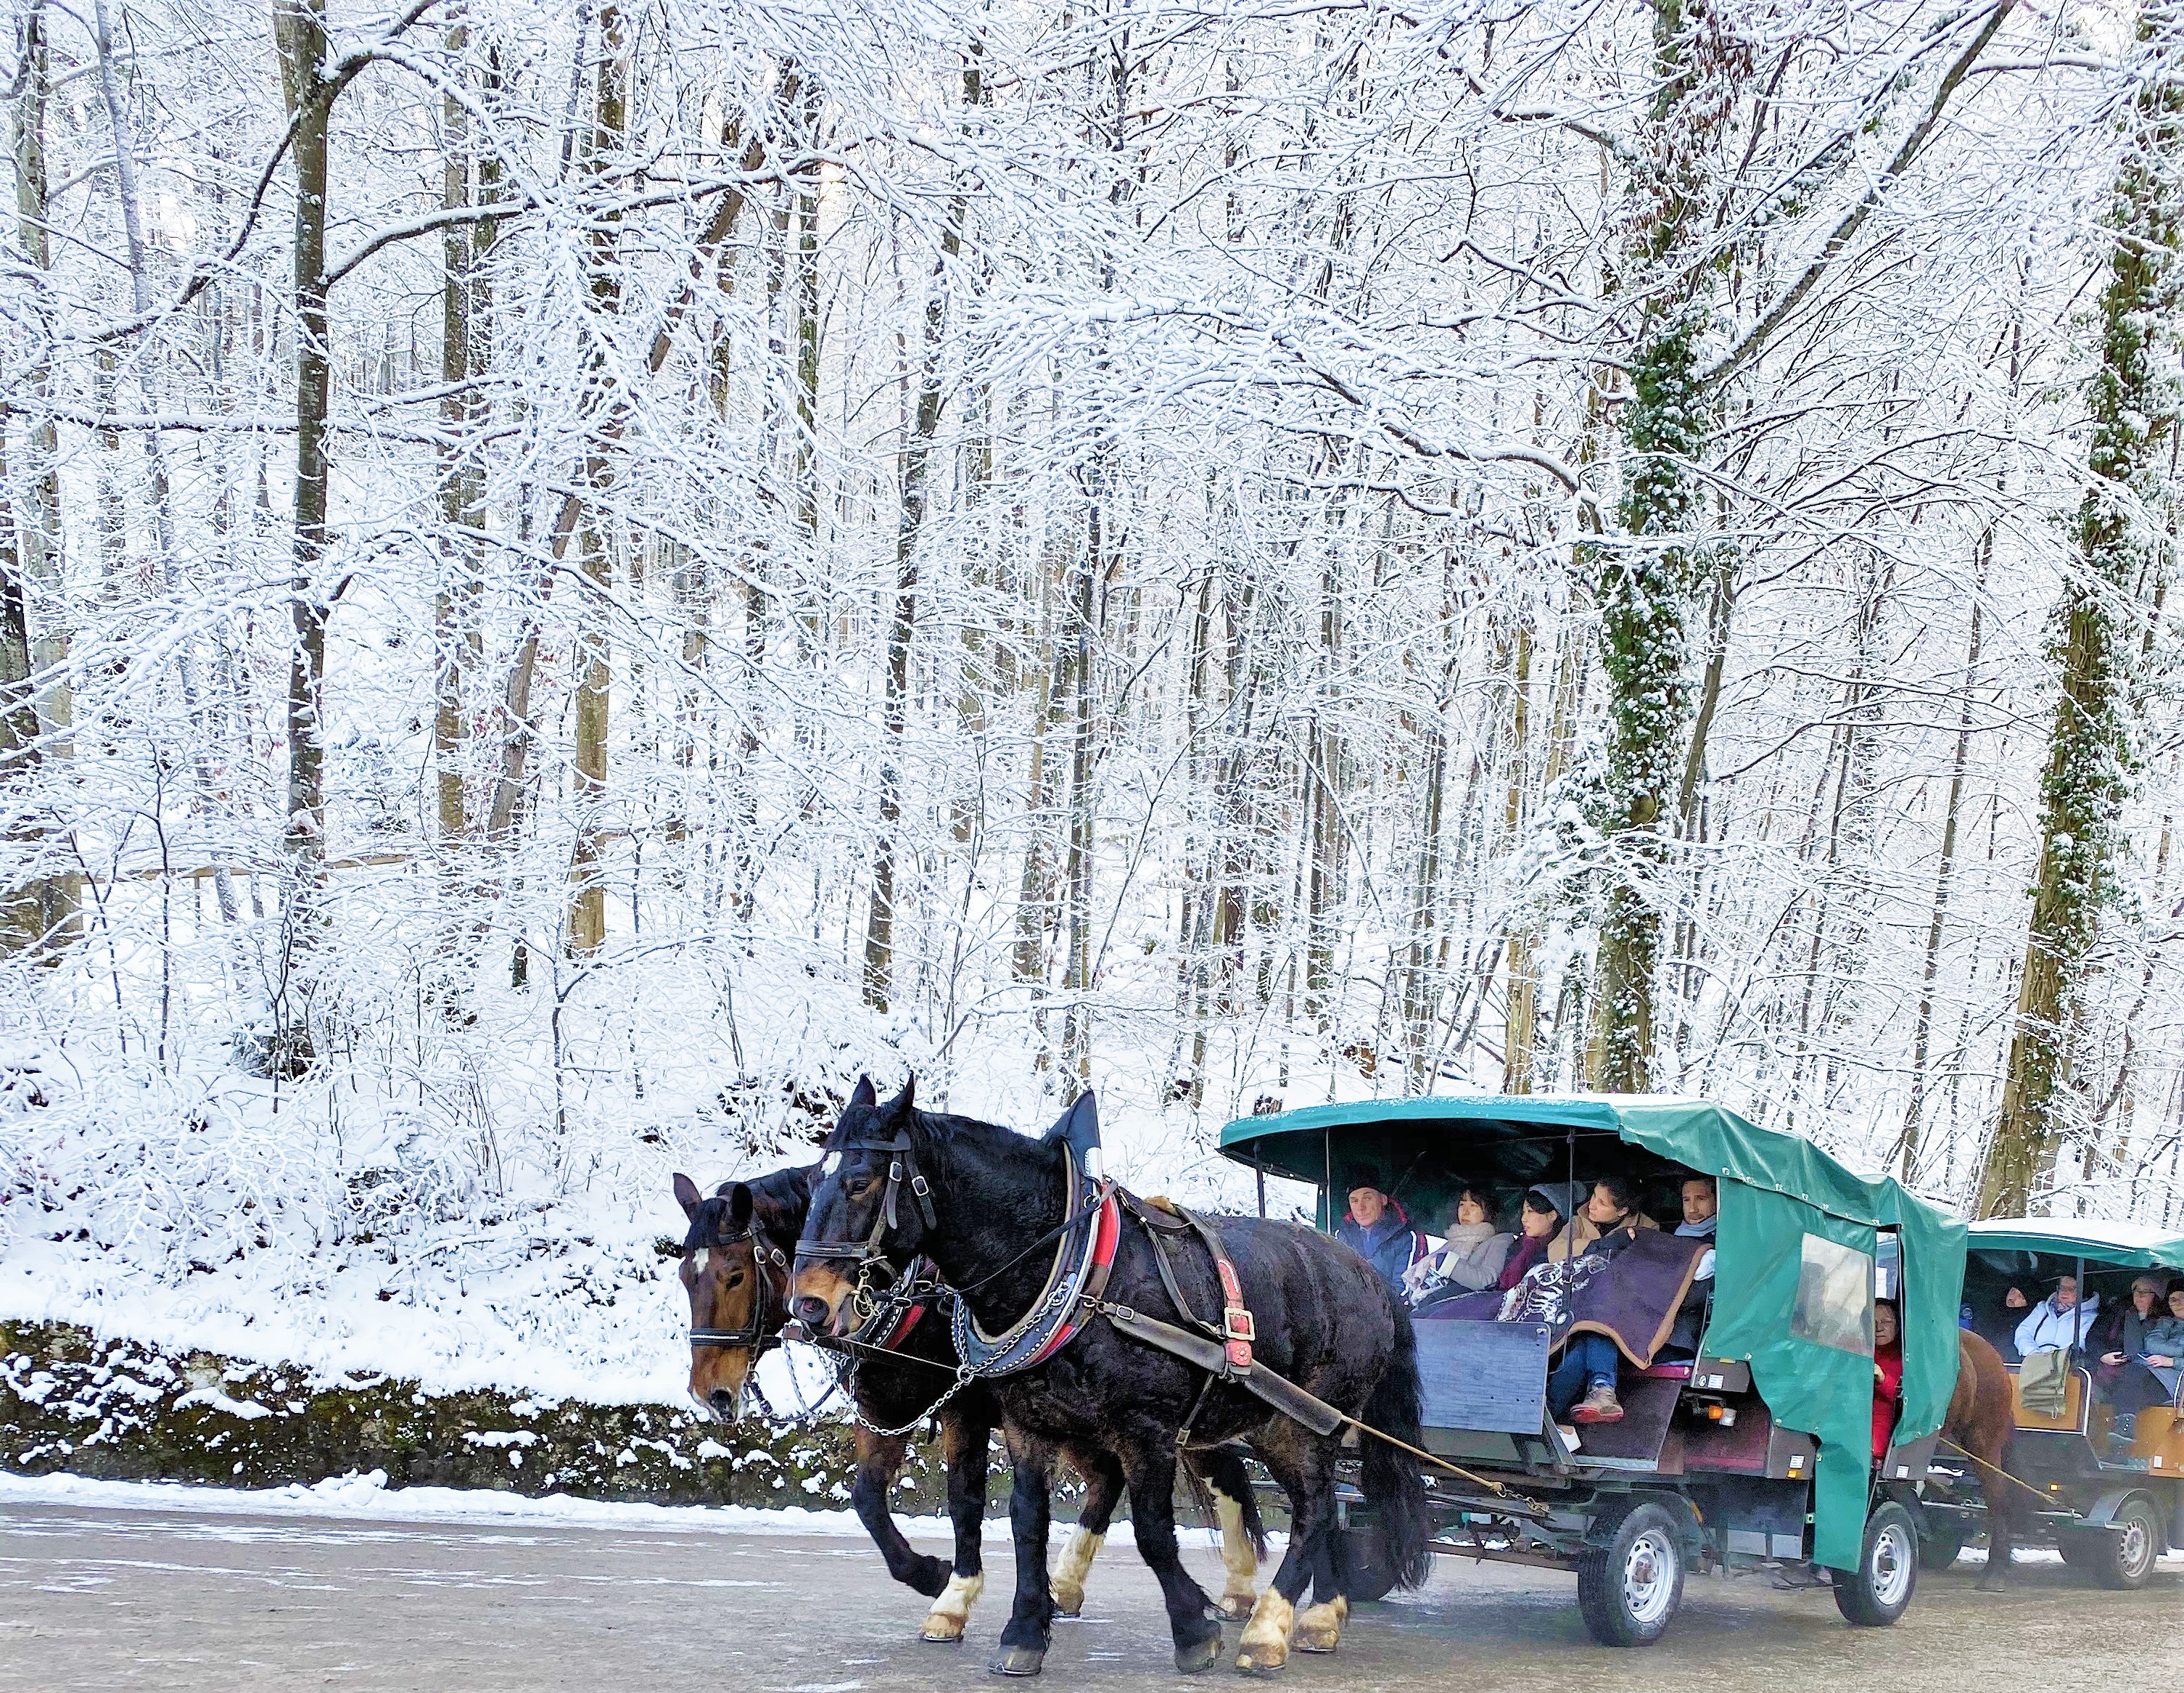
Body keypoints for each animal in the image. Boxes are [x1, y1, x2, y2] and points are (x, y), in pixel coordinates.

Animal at [672, 1136, 1275, 1651]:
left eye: (734, 1274)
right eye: (684, 1277)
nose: (710, 1393)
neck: (910, 1293)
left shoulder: (961, 1408)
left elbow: (963, 1498)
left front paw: (948, 1591)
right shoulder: (882, 1408)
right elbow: (867, 1499)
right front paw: (928, 1576)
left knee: (1217, 1475)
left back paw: (1236, 1588)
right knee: (1112, 1480)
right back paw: (1074, 1585)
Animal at [786, 1087, 1433, 1677]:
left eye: (860, 1182)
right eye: (813, 1181)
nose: (811, 1304)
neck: (1073, 1274)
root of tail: (1369, 1275)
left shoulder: (1142, 1429)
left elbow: (1151, 1531)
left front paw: (1192, 1629)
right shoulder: (1025, 1422)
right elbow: (1024, 1520)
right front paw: (1023, 1630)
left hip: (1301, 1424)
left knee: (1317, 1509)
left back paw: (1270, 1627)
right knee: (1311, 1505)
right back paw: (1314, 1614)